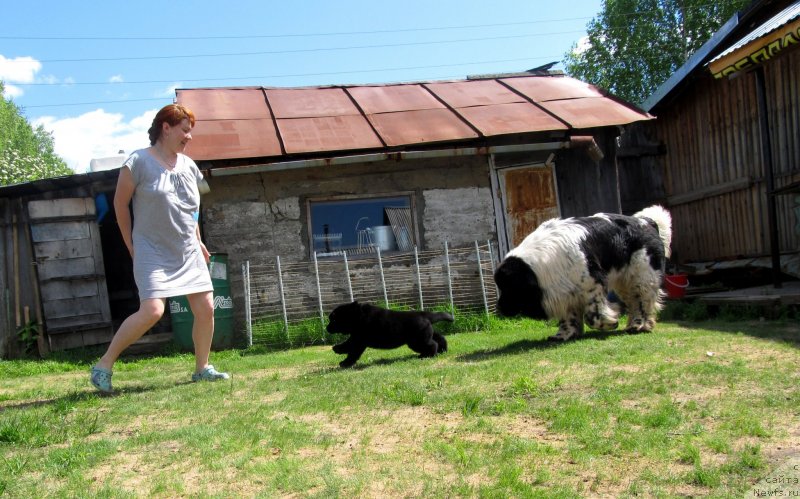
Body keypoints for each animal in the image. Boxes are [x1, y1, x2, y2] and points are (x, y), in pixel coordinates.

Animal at [494, 205, 668, 342]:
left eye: (508, 287)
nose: (499, 307)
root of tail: (648, 222)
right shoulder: (565, 291)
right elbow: (568, 317)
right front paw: (564, 334)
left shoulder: (594, 284)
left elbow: (592, 316)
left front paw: (610, 322)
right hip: (625, 281)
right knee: (633, 300)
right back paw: (634, 324)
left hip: (641, 277)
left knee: (642, 300)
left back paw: (639, 325)